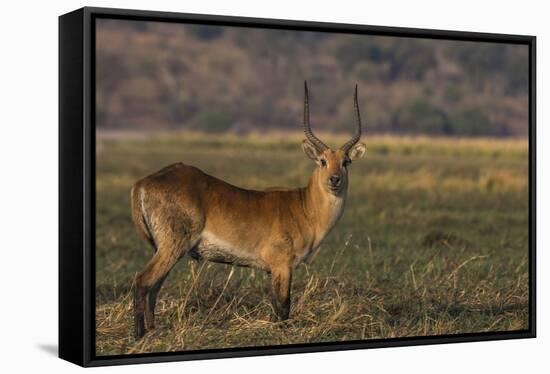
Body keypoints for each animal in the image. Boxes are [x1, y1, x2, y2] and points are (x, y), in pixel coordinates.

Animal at [132, 82, 368, 338]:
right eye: (323, 161)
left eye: (346, 162)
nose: (335, 179)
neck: (304, 207)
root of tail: (143, 182)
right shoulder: (282, 266)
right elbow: (283, 306)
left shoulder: (273, 270)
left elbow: (276, 305)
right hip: (172, 247)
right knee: (142, 281)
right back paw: (139, 335)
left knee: (154, 287)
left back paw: (153, 331)